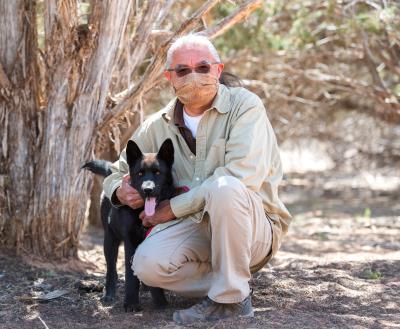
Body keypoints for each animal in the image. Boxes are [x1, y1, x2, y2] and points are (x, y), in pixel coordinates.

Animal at [82, 138, 174, 310]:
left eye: (158, 172)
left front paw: (160, 301)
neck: (141, 210)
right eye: (140, 173)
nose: (148, 189)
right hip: (109, 239)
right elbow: (130, 276)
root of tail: (111, 172)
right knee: (111, 269)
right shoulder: (130, 241)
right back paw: (109, 294)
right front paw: (131, 303)